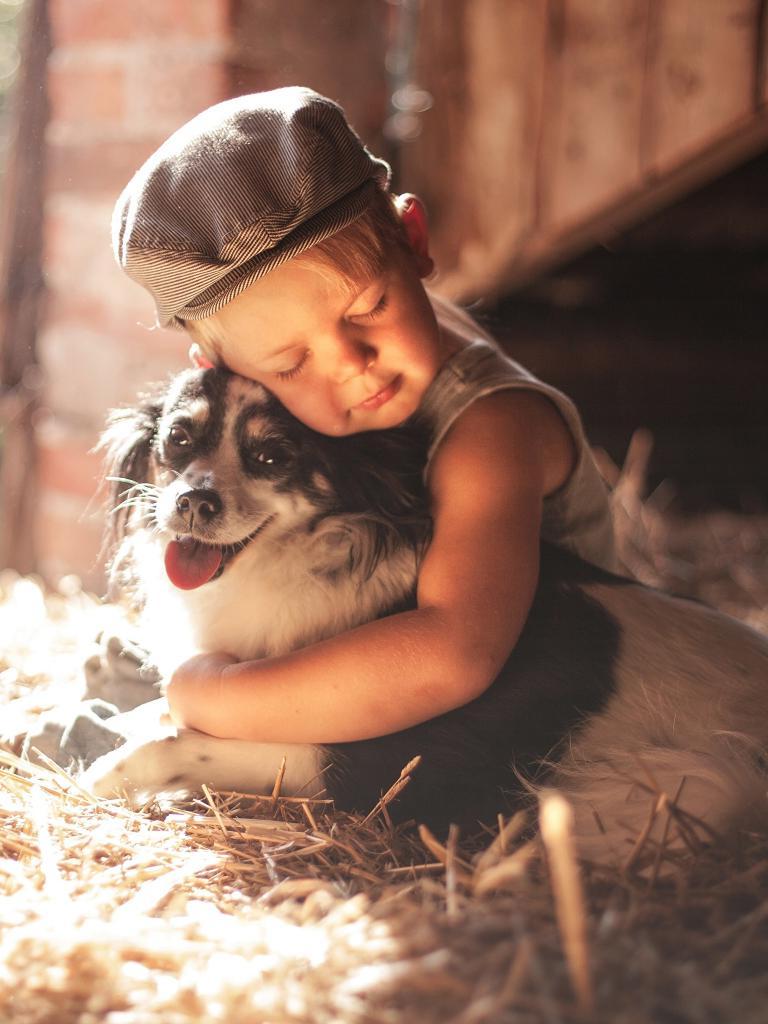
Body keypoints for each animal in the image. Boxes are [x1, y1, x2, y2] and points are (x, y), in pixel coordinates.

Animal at [82, 368, 768, 864]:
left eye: (273, 457)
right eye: (178, 438)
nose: (193, 502)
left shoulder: (391, 760)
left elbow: (182, 744)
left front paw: (103, 773)